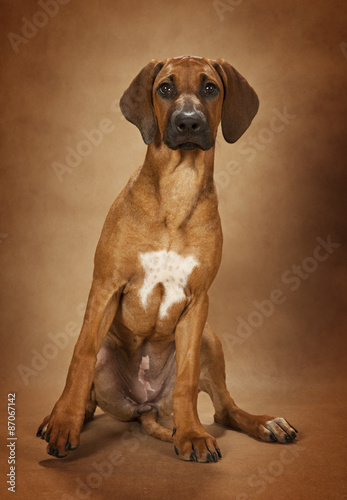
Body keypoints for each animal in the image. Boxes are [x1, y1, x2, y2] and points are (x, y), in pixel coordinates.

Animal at [38, 56, 300, 462]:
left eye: (210, 87)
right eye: (165, 88)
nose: (189, 122)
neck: (178, 188)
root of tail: (145, 406)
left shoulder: (198, 300)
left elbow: (188, 380)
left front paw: (191, 434)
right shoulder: (106, 286)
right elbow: (80, 359)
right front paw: (64, 423)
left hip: (209, 337)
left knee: (224, 409)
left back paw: (263, 423)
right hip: (110, 350)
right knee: (89, 389)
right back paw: (60, 416)